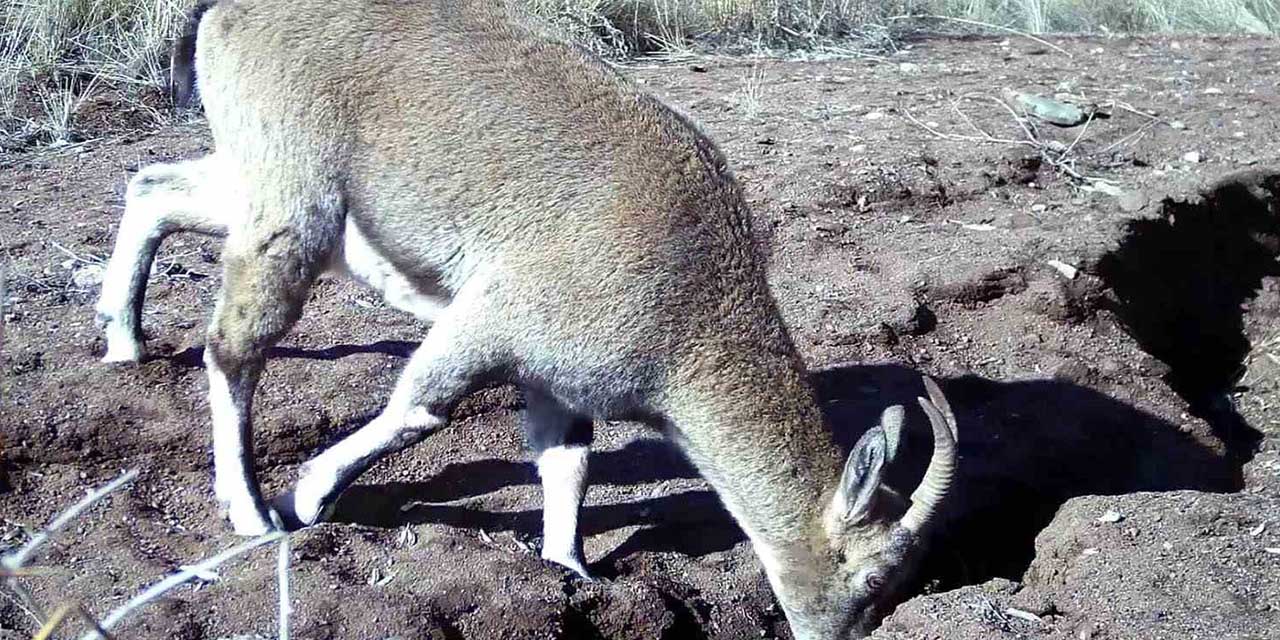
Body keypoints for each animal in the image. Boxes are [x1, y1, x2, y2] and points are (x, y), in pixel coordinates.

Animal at [94, 2, 957, 637]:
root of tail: (225, 14)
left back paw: (123, 338)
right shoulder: (495, 318)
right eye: (871, 573)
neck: (693, 312)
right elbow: (420, 410)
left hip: (256, 180)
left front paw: (569, 571)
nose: (844, 632)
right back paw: (249, 509)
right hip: (291, 198)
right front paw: (308, 495)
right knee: (233, 346)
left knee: (152, 186)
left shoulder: (558, 375)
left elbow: (566, 461)